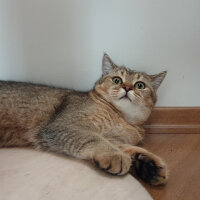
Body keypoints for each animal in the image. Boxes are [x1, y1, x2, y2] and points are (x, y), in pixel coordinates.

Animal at [0, 54, 167, 185]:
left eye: (140, 85)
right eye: (117, 80)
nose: (127, 88)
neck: (122, 117)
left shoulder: (114, 139)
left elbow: (129, 148)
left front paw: (149, 165)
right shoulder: (62, 126)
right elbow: (93, 138)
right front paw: (115, 155)